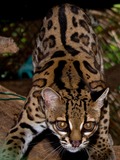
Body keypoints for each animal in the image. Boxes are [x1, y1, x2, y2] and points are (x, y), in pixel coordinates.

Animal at [0, 2, 116, 160]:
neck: (71, 82)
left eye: (88, 125)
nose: (75, 143)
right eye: (62, 125)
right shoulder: (26, 120)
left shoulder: (99, 89)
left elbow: (103, 123)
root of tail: (64, 4)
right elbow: (12, 142)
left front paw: (101, 150)